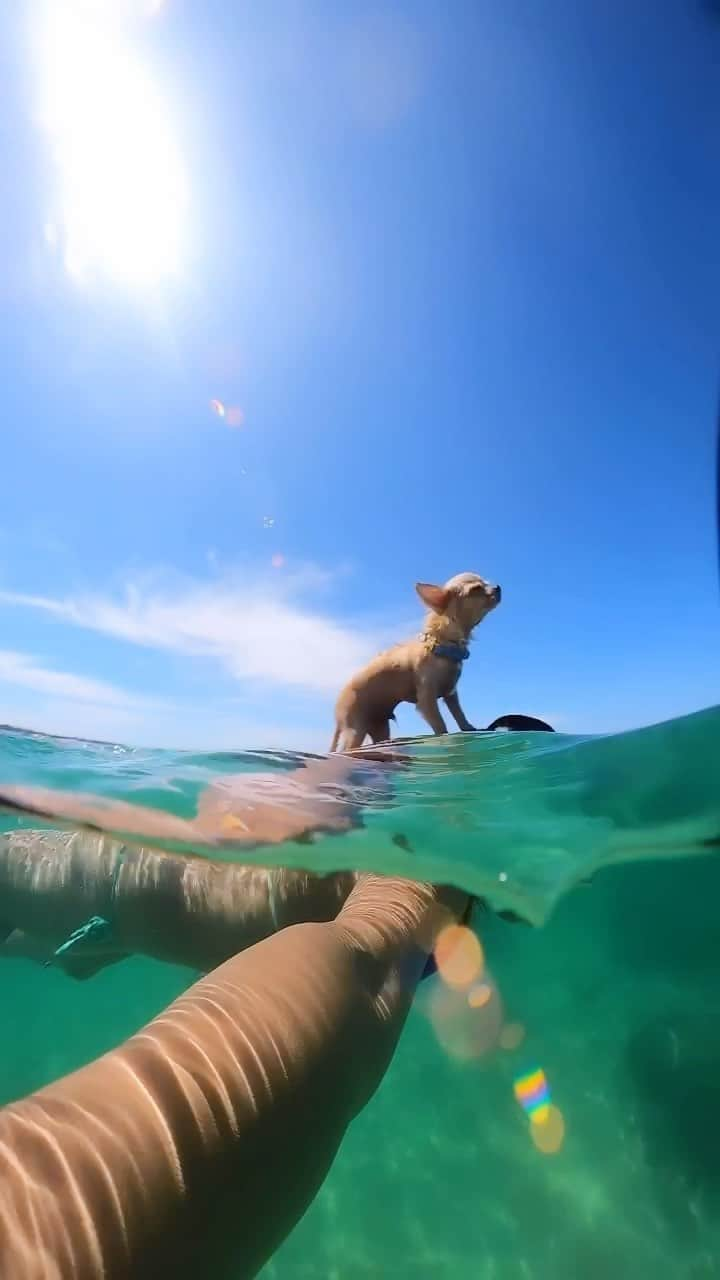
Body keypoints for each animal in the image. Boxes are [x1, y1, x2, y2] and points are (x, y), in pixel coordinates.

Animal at [326, 570, 499, 747]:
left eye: (486, 582)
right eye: (476, 589)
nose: (498, 587)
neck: (442, 643)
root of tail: (337, 715)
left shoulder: (451, 693)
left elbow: (459, 714)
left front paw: (469, 727)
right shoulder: (426, 700)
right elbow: (440, 724)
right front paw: (445, 738)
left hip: (379, 728)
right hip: (356, 729)